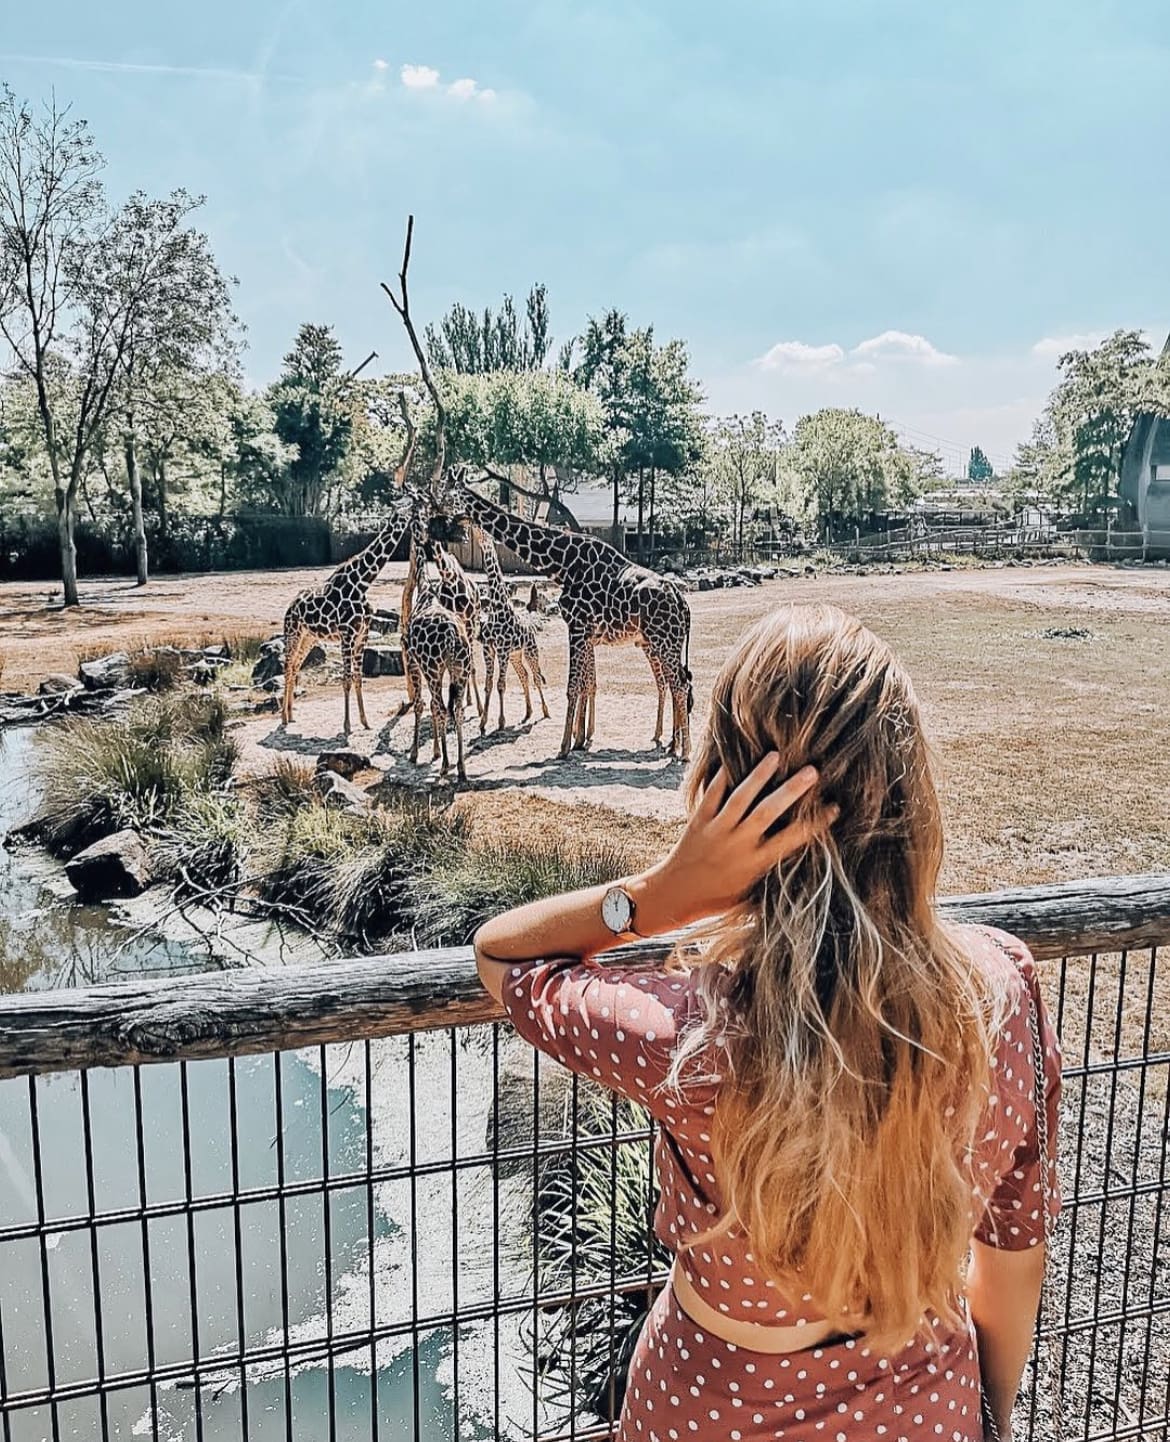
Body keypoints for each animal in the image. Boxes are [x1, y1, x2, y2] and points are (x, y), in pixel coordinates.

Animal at [281, 504, 415, 732]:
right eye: (409, 507)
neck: (362, 582)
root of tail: (290, 607)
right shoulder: (347, 634)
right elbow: (346, 679)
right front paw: (346, 725)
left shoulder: (362, 634)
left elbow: (358, 677)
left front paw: (365, 721)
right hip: (293, 633)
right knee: (288, 665)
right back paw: (282, 718)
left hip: (309, 637)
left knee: (296, 665)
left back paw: (291, 715)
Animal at [403, 507, 473, 778]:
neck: (426, 588)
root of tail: (453, 636)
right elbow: (434, 706)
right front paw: (433, 751)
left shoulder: (413, 661)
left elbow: (422, 704)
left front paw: (416, 753)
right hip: (459, 668)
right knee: (457, 710)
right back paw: (461, 767)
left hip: (434, 668)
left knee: (441, 706)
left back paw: (445, 765)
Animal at [473, 524, 551, 732]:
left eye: (484, 532)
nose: (474, 535)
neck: (497, 609)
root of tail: (531, 627)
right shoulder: (489, 649)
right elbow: (488, 684)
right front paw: (483, 723)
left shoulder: (502, 650)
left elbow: (501, 685)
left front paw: (501, 722)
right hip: (516, 655)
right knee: (524, 675)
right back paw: (528, 712)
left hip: (530, 651)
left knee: (536, 677)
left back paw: (545, 712)